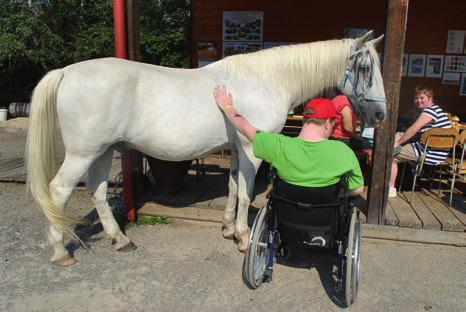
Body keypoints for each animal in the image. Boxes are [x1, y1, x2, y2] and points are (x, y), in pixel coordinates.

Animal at [27, 31, 388, 266]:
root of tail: (66, 72)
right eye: (365, 68)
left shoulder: (237, 151)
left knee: (99, 192)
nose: (380, 115)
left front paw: (228, 228)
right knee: (58, 191)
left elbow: (232, 188)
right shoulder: (252, 150)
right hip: (82, 154)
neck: (266, 79)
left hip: (101, 152)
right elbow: (246, 193)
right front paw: (243, 236)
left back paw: (120, 240)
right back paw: (60, 252)